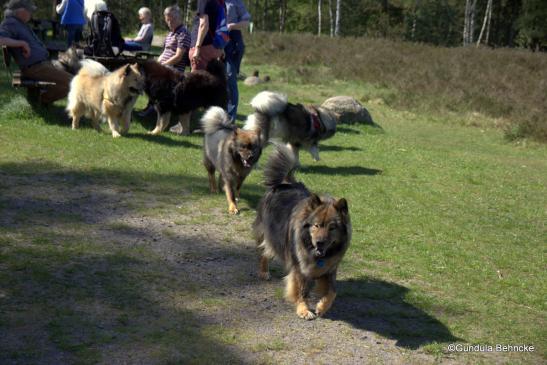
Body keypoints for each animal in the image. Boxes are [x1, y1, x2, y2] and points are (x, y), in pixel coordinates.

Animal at [255, 144, 354, 318]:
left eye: (332, 227)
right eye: (316, 225)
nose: (320, 242)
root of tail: (284, 183)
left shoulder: (329, 269)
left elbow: (332, 292)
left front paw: (322, 307)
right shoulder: (299, 268)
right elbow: (300, 290)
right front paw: (303, 309)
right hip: (268, 234)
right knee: (264, 252)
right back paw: (264, 272)